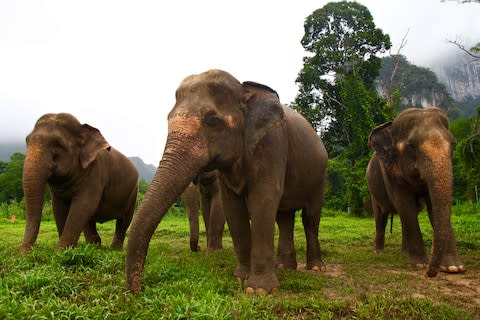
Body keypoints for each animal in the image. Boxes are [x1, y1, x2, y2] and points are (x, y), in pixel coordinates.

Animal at [22, 114, 139, 254]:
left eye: (58, 144)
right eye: (27, 141)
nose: (27, 252)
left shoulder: (94, 173)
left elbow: (83, 205)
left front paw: (60, 251)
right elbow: (58, 207)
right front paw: (66, 250)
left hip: (133, 194)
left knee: (124, 220)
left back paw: (114, 249)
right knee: (90, 220)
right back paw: (94, 246)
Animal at [125, 69, 328, 296]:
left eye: (212, 121)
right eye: (168, 119)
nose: (137, 290)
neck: (245, 90)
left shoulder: (272, 144)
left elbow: (262, 200)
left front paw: (259, 291)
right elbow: (232, 207)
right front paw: (240, 278)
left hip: (320, 176)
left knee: (310, 217)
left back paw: (315, 268)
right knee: (285, 218)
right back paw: (284, 266)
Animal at [366, 106, 464, 276]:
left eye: (453, 143)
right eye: (411, 145)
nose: (430, 273)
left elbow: (431, 207)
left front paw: (453, 268)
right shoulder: (389, 173)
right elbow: (405, 205)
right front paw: (419, 265)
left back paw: (404, 253)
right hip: (373, 191)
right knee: (381, 216)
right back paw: (378, 251)